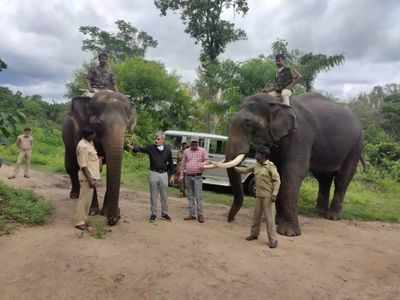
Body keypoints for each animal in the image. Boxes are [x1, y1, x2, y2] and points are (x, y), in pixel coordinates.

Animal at [61, 91, 135, 225]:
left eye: (127, 125)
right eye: (98, 124)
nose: (115, 218)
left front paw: (105, 212)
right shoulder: (79, 132)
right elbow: (89, 167)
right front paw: (94, 211)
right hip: (66, 136)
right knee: (71, 166)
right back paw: (75, 195)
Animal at [217, 92, 364, 236]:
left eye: (248, 124)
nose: (230, 220)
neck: (277, 100)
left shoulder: (300, 136)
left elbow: (293, 173)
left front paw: (288, 233)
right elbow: (278, 173)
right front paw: (277, 222)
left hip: (355, 146)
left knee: (342, 179)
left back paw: (332, 217)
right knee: (324, 179)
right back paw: (318, 213)